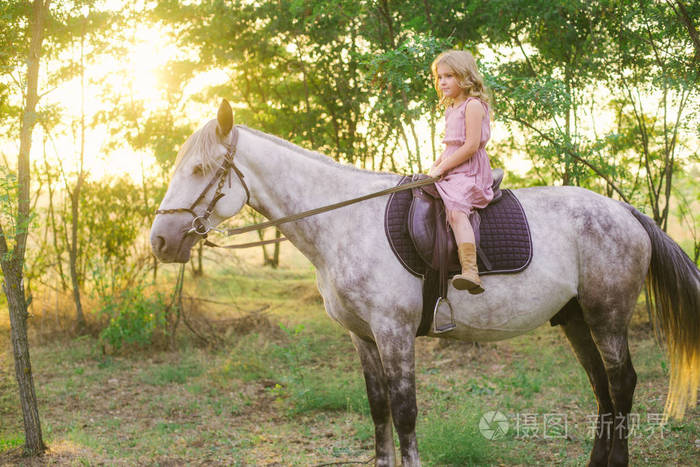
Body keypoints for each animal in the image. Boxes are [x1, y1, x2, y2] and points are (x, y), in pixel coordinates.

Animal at [150, 100, 699, 467]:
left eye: (200, 168)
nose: (159, 241)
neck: (344, 221)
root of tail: (625, 210)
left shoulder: (394, 331)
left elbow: (405, 411)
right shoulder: (363, 336)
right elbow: (378, 410)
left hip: (607, 315)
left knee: (622, 383)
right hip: (574, 318)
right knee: (602, 386)